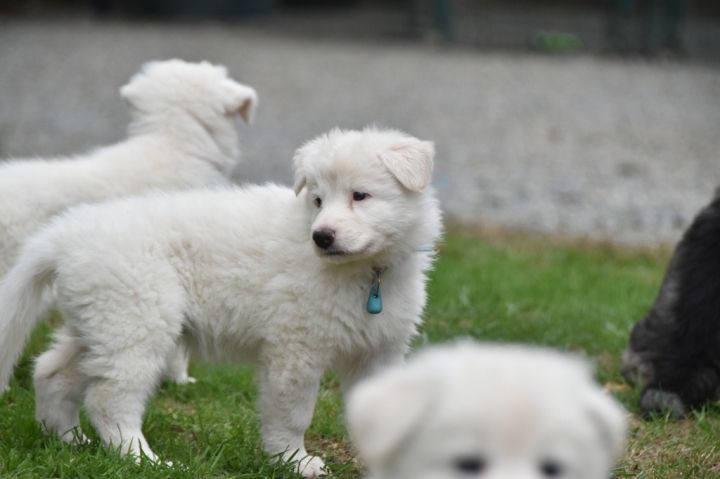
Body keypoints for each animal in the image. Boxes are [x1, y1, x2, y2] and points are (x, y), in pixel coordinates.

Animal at [0, 128, 442, 477]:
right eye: (317, 200)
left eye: (360, 196)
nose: (321, 237)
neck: (367, 272)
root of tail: (61, 236)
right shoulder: (296, 348)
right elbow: (293, 412)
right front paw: (294, 461)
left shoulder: (378, 350)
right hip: (139, 321)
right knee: (110, 397)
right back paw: (141, 459)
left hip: (102, 321)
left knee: (52, 371)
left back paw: (69, 442)